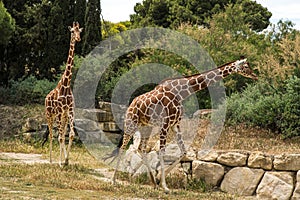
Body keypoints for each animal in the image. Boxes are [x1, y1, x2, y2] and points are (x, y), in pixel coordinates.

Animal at [44, 21, 82, 166]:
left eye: (79, 31)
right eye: (72, 31)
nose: (78, 38)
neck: (66, 85)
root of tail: (46, 98)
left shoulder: (69, 110)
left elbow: (70, 134)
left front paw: (66, 160)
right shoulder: (60, 110)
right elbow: (60, 137)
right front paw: (61, 162)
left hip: (62, 116)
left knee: (61, 133)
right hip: (50, 114)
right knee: (51, 134)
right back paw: (51, 160)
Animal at [108, 57, 258, 193]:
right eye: (246, 66)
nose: (255, 76)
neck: (182, 92)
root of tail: (131, 104)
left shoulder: (175, 124)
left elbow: (184, 151)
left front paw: (159, 180)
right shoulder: (165, 124)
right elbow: (162, 152)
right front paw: (165, 186)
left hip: (146, 126)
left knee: (142, 148)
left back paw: (153, 182)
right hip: (131, 124)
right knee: (123, 147)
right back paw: (114, 180)